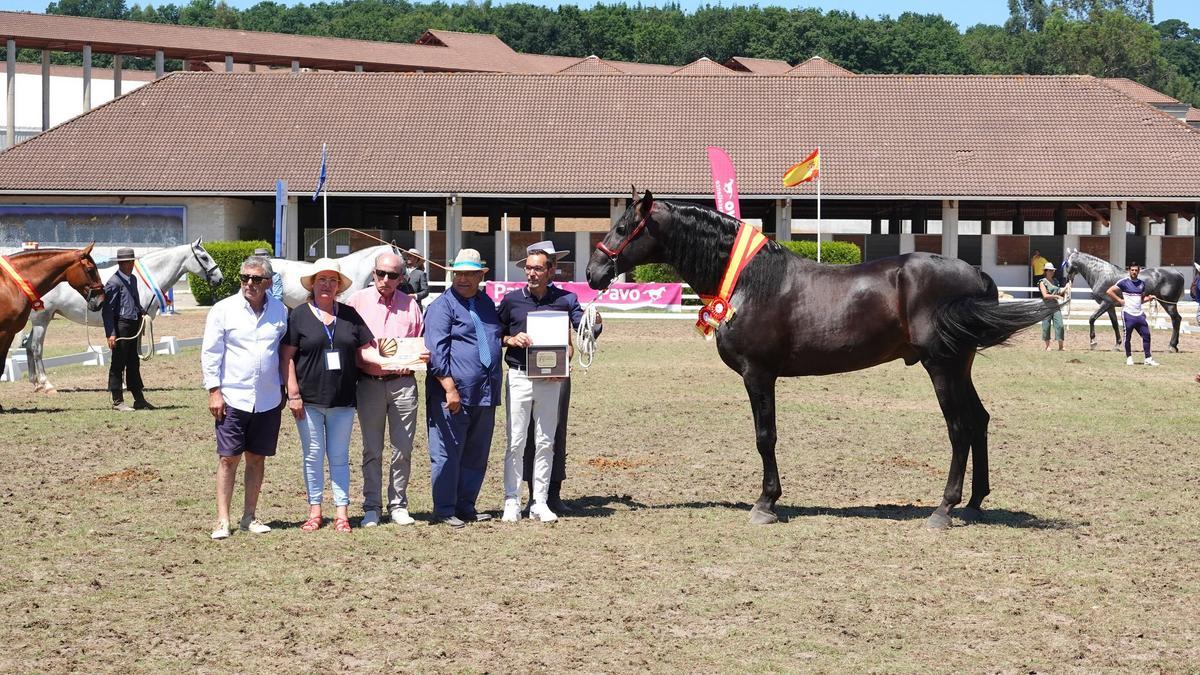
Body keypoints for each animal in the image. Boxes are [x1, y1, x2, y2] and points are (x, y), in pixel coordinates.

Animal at [590, 189, 1060, 526]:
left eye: (625, 226)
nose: (595, 272)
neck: (749, 281)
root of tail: (975, 273)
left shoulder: (758, 375)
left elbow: (765, 437)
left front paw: (766, 503)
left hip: (942, 367)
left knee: (959, 429)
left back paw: (943, 510)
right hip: (960, 367)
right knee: (979, 421)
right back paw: (976, 502)